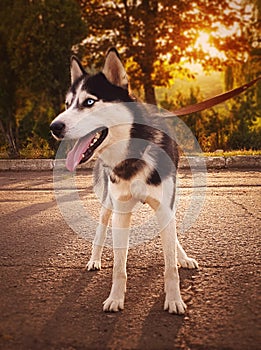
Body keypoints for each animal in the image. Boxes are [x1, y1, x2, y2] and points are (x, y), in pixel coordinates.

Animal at [50, 47, 197, 314]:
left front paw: (174, 299)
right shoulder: (121, 212)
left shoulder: (164, 207)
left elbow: (169, 265)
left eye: (89, 102)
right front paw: (116, 298)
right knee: (100, 232)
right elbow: (119, 267)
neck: (132, 154)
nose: (54, 126)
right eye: (67, 104)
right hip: (108, 205)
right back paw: (94, 259)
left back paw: (182, 257)